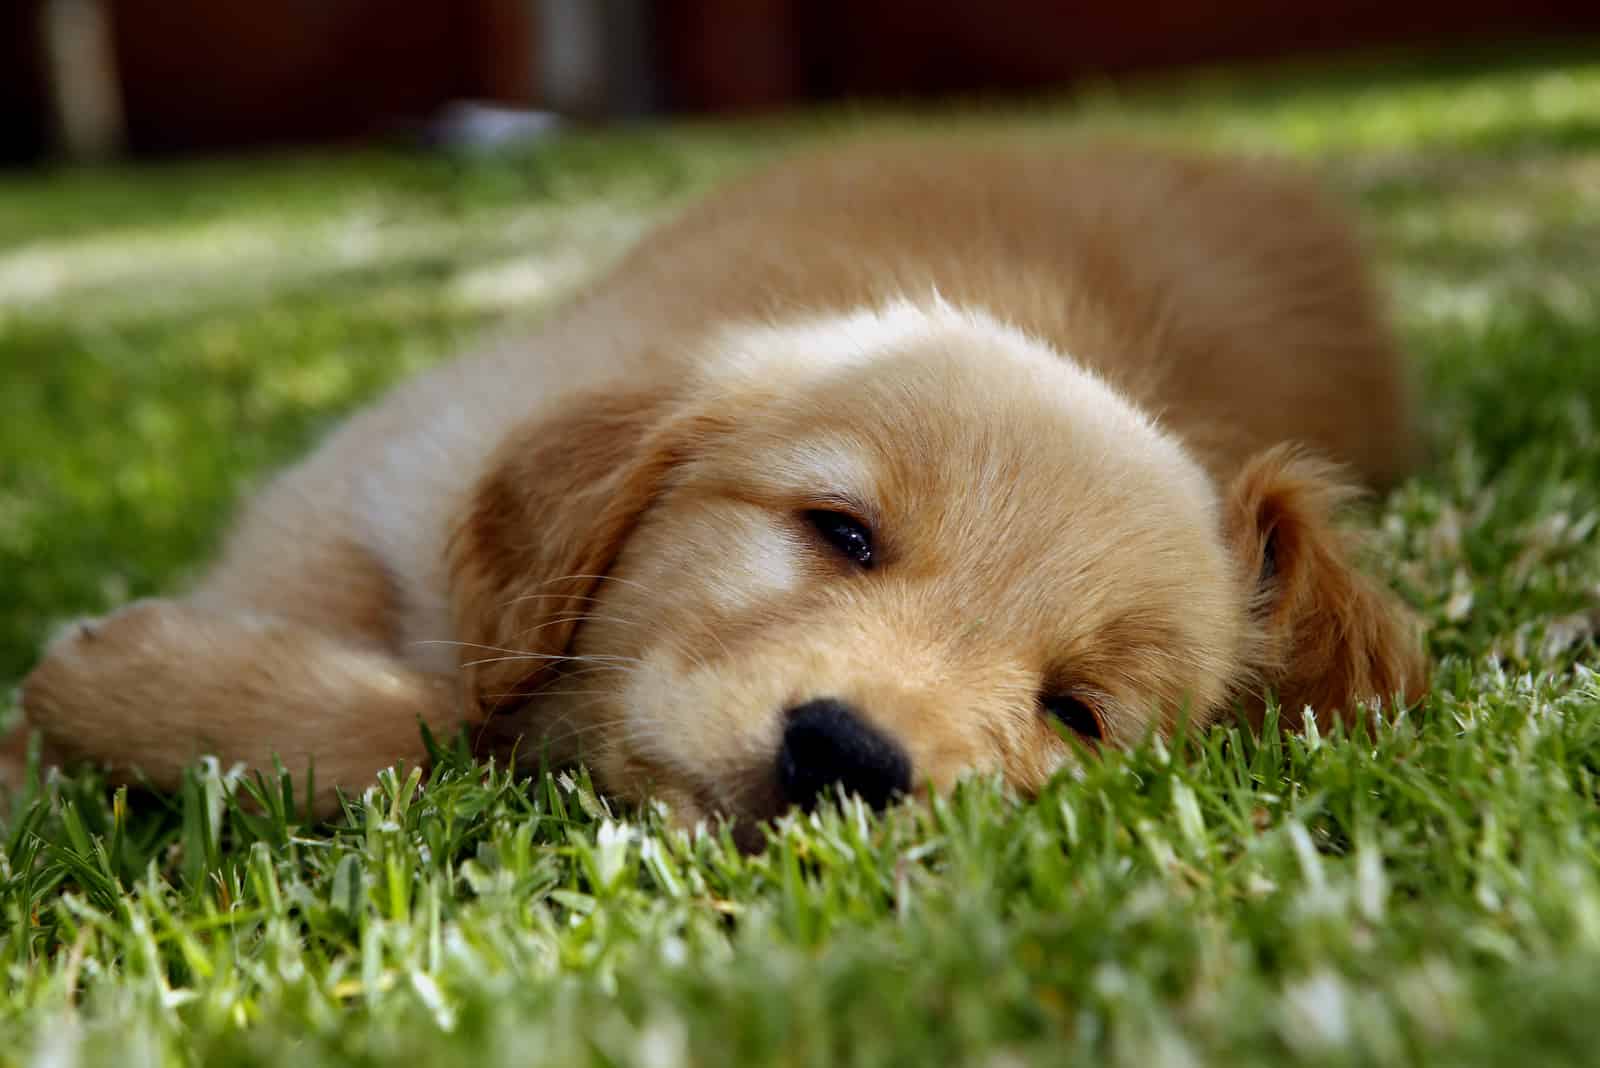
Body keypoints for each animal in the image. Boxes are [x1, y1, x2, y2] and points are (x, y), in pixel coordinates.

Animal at [3, 137, 1427, 831]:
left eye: (1074, 713)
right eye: (839, 531)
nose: (844, 759)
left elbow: (438, 734)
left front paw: (119, 688)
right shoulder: (378, 477)